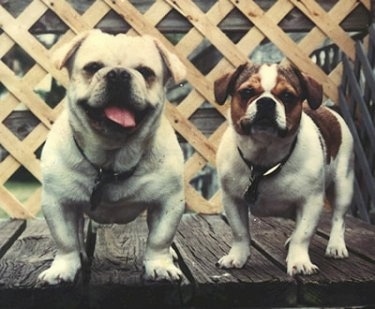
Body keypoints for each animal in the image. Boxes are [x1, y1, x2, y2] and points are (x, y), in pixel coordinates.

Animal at [38, 30, 188, 282]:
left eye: (146, 72)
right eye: (92, 67)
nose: (118, 74)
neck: (112, 160)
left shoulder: (168, 202)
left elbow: (159, 239)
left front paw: (159, 265)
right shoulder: (57, 202)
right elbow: (65, 240)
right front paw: (63, 269)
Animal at [214, 62, 356, 274]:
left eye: (288, 96)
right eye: (247, 92)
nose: (266, 102)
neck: (264, 161)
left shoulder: (311, 201)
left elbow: (303, 234)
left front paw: (300, 261)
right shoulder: (233, 200)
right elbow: (239, 232)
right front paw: (237, 257)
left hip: (343, 186)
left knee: (339, 218)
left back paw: (336, 245)